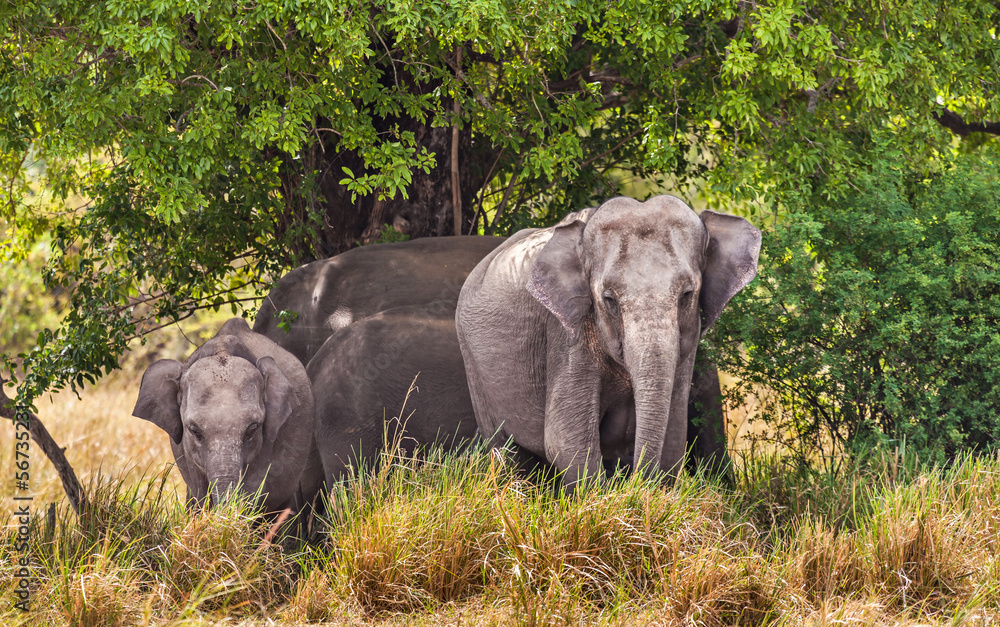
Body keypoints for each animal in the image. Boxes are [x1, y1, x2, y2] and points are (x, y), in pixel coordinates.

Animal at [458, 194, 760, 488]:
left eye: (687, 294)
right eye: (609, 299)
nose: (636, 483)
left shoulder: (689, 341)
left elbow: (674, 435)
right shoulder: (565, 333)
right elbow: (566, 440)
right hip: (475, 369)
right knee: (507, 452)